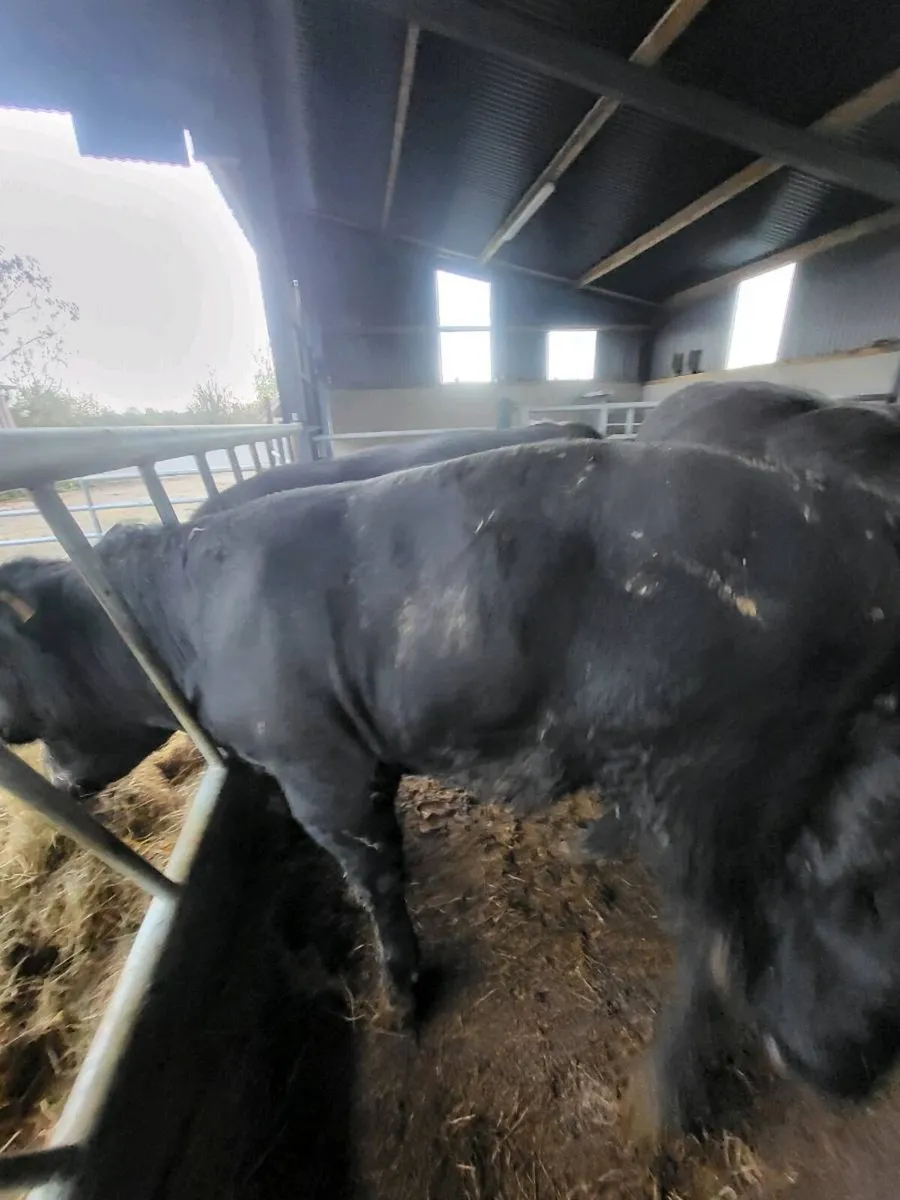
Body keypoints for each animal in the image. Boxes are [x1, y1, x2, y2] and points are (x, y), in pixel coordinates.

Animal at [4, 438, 900, 1138]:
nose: (57, 782)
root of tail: (850, 516)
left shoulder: (319, 766)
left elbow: (374, 876)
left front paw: (402, 996)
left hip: (711, 781)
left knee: (719, 938)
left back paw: (675, 1099)